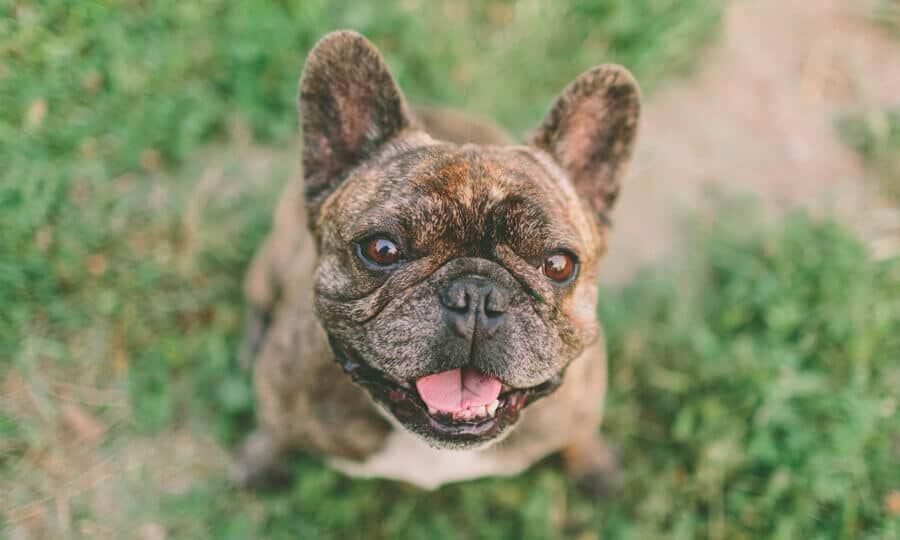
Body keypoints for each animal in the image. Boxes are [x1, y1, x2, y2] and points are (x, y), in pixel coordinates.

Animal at [232, 29, 640, 494]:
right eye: (382, 250)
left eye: (558, 265)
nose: (476, 295)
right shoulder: (280, 391)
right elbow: (274, 431)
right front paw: (260, 462)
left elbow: (582, 433)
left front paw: (594, 466)